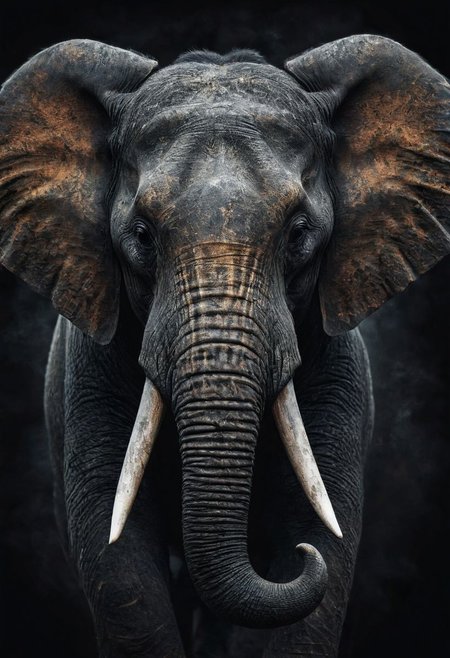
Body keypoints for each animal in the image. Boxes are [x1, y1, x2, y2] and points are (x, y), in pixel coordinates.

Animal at [0, 34, 449, 657]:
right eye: (141, 235)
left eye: (299, 233)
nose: (299, 564)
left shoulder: (335, 372)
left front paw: (308, 548)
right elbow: (119, 562)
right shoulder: (88, 371)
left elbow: (324, 531)